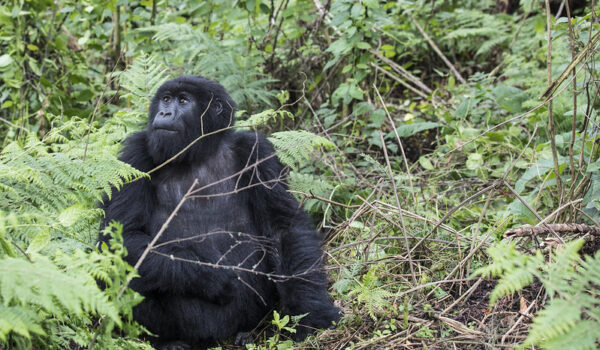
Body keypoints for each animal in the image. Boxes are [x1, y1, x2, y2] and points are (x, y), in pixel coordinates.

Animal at [101, 76, 340, 348]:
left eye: (183, 100)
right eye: (166, 99)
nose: (164, 112)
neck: (200, 152)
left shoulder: (256, 150)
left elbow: (284, 228)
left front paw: (313, 311)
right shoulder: (135, 154)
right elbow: (121, 237)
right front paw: (211, 276)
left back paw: (247, 332)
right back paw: (169, 340)